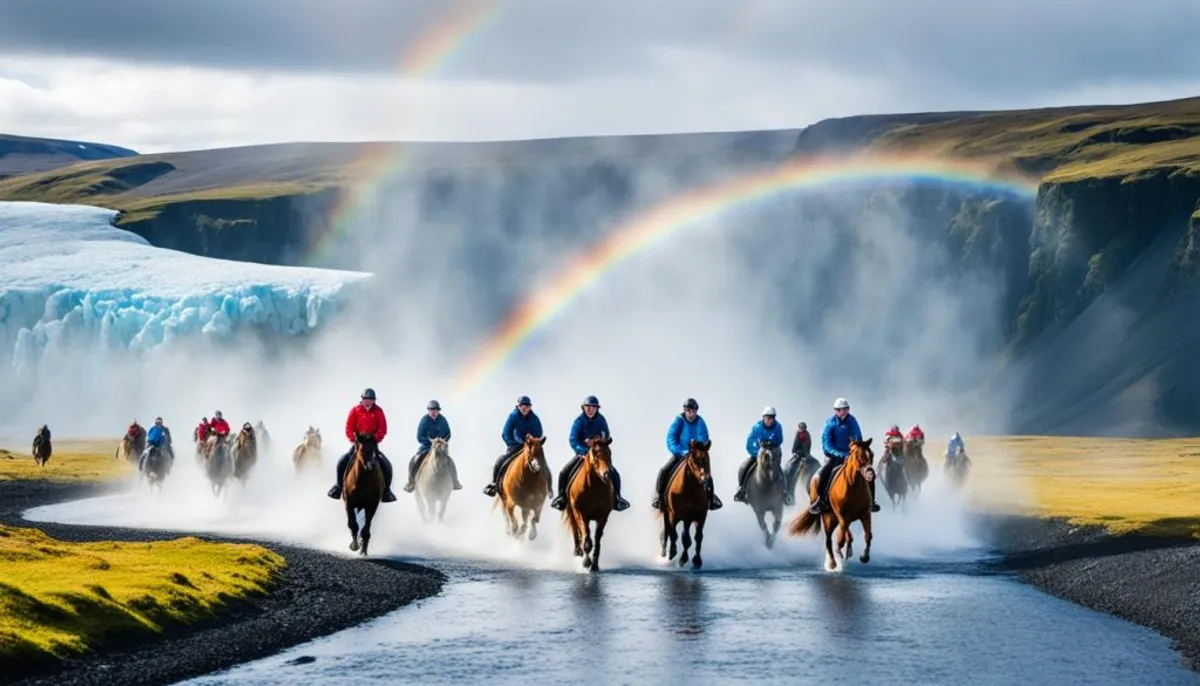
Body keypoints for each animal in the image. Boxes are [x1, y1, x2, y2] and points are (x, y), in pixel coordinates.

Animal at [564, 434, 614, 573]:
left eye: (610, 453)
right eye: (596, 454)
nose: (607, 474)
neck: (593, 487)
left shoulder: (603, 516)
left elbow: (597, 539)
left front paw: (595, 565)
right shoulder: (581, 514)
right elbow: (586, 537)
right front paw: (586, 562)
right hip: (572, 513)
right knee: (576, 531)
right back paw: (578, 551)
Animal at [792, 436, 878, 570]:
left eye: (872, 454)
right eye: (859, 456)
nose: (871, 475)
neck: (853, 486)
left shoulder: (865, 514)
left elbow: (868, 535)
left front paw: (864, 556)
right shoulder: (842, 515)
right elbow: (840, 538)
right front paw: (839, 552)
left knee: (845, 532)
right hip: (828, 518)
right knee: (829, 539)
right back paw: (832, 563)